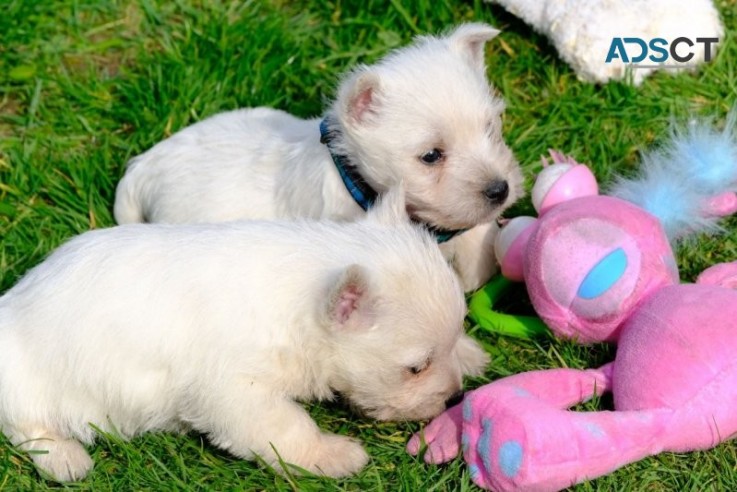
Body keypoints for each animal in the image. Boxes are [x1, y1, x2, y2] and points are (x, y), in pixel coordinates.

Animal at [0, 188, 488, 480]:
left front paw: (467, 352)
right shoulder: (237, 393)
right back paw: (67, 459)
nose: (453, 398)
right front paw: (333, 455)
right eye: (415, 368)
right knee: (27, 426)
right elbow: (288, 427)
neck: (300, 295)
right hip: (30, 385)